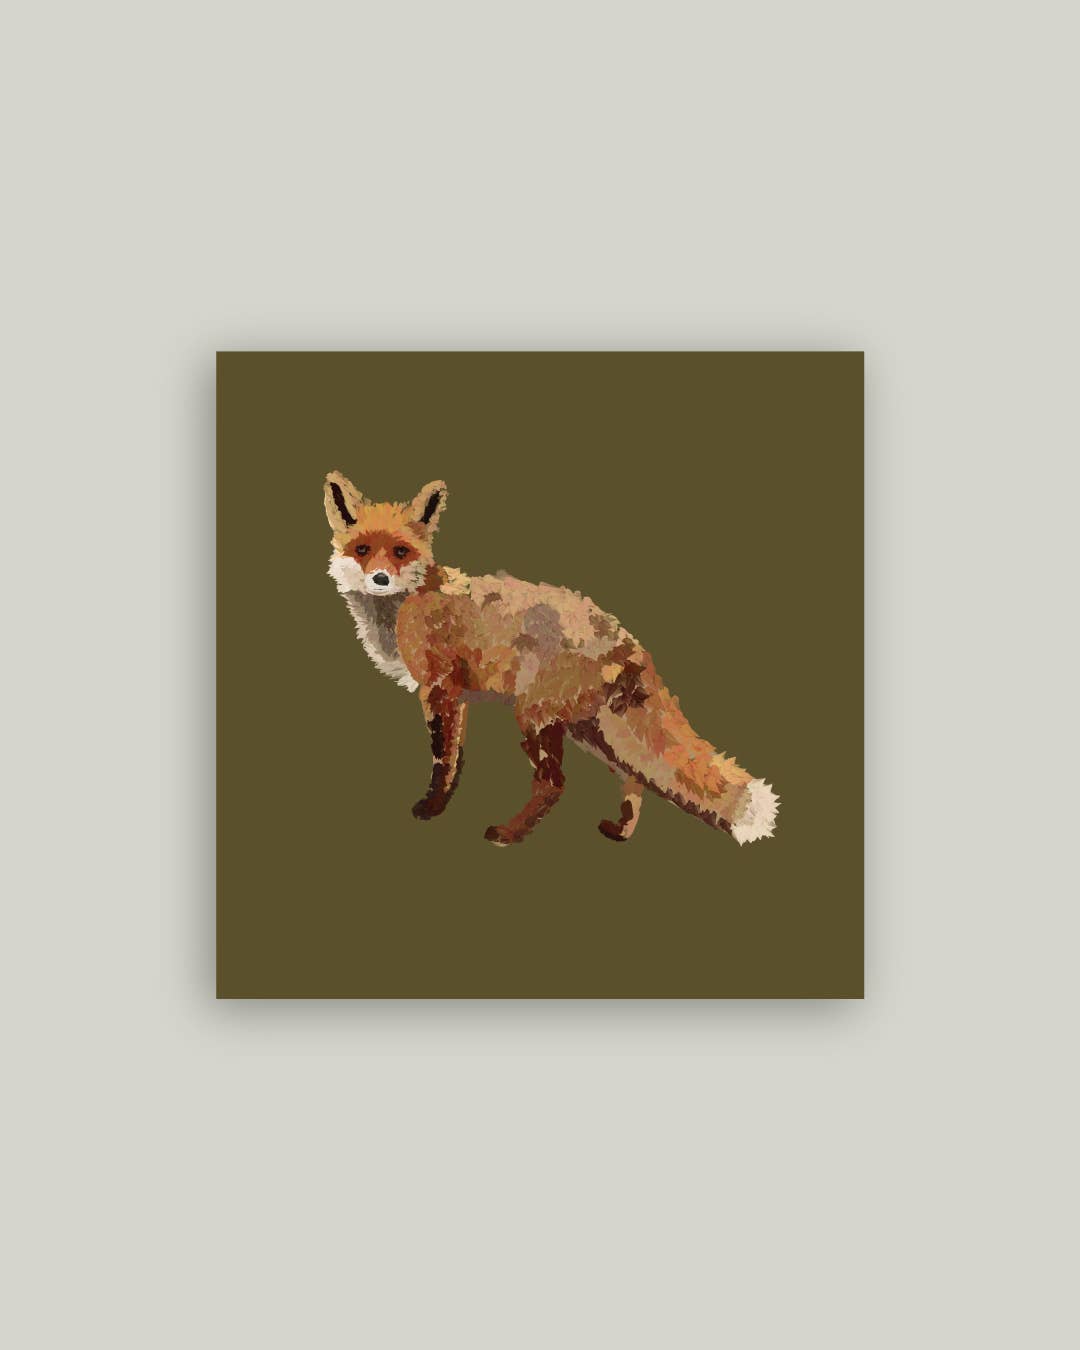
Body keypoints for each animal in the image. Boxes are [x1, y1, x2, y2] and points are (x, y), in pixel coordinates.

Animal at [324, 472, 778, 847]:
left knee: (554, 783)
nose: (380, 578)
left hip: (535, 718)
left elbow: (444, 761)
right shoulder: (456, 696)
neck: (405, 604)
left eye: (400, 552)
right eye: (362, 549)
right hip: (589, 729)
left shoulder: (441, 689)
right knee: (633, 778)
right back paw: (619, 832)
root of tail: (626, 638)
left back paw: (508, 835)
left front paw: (433, 809)